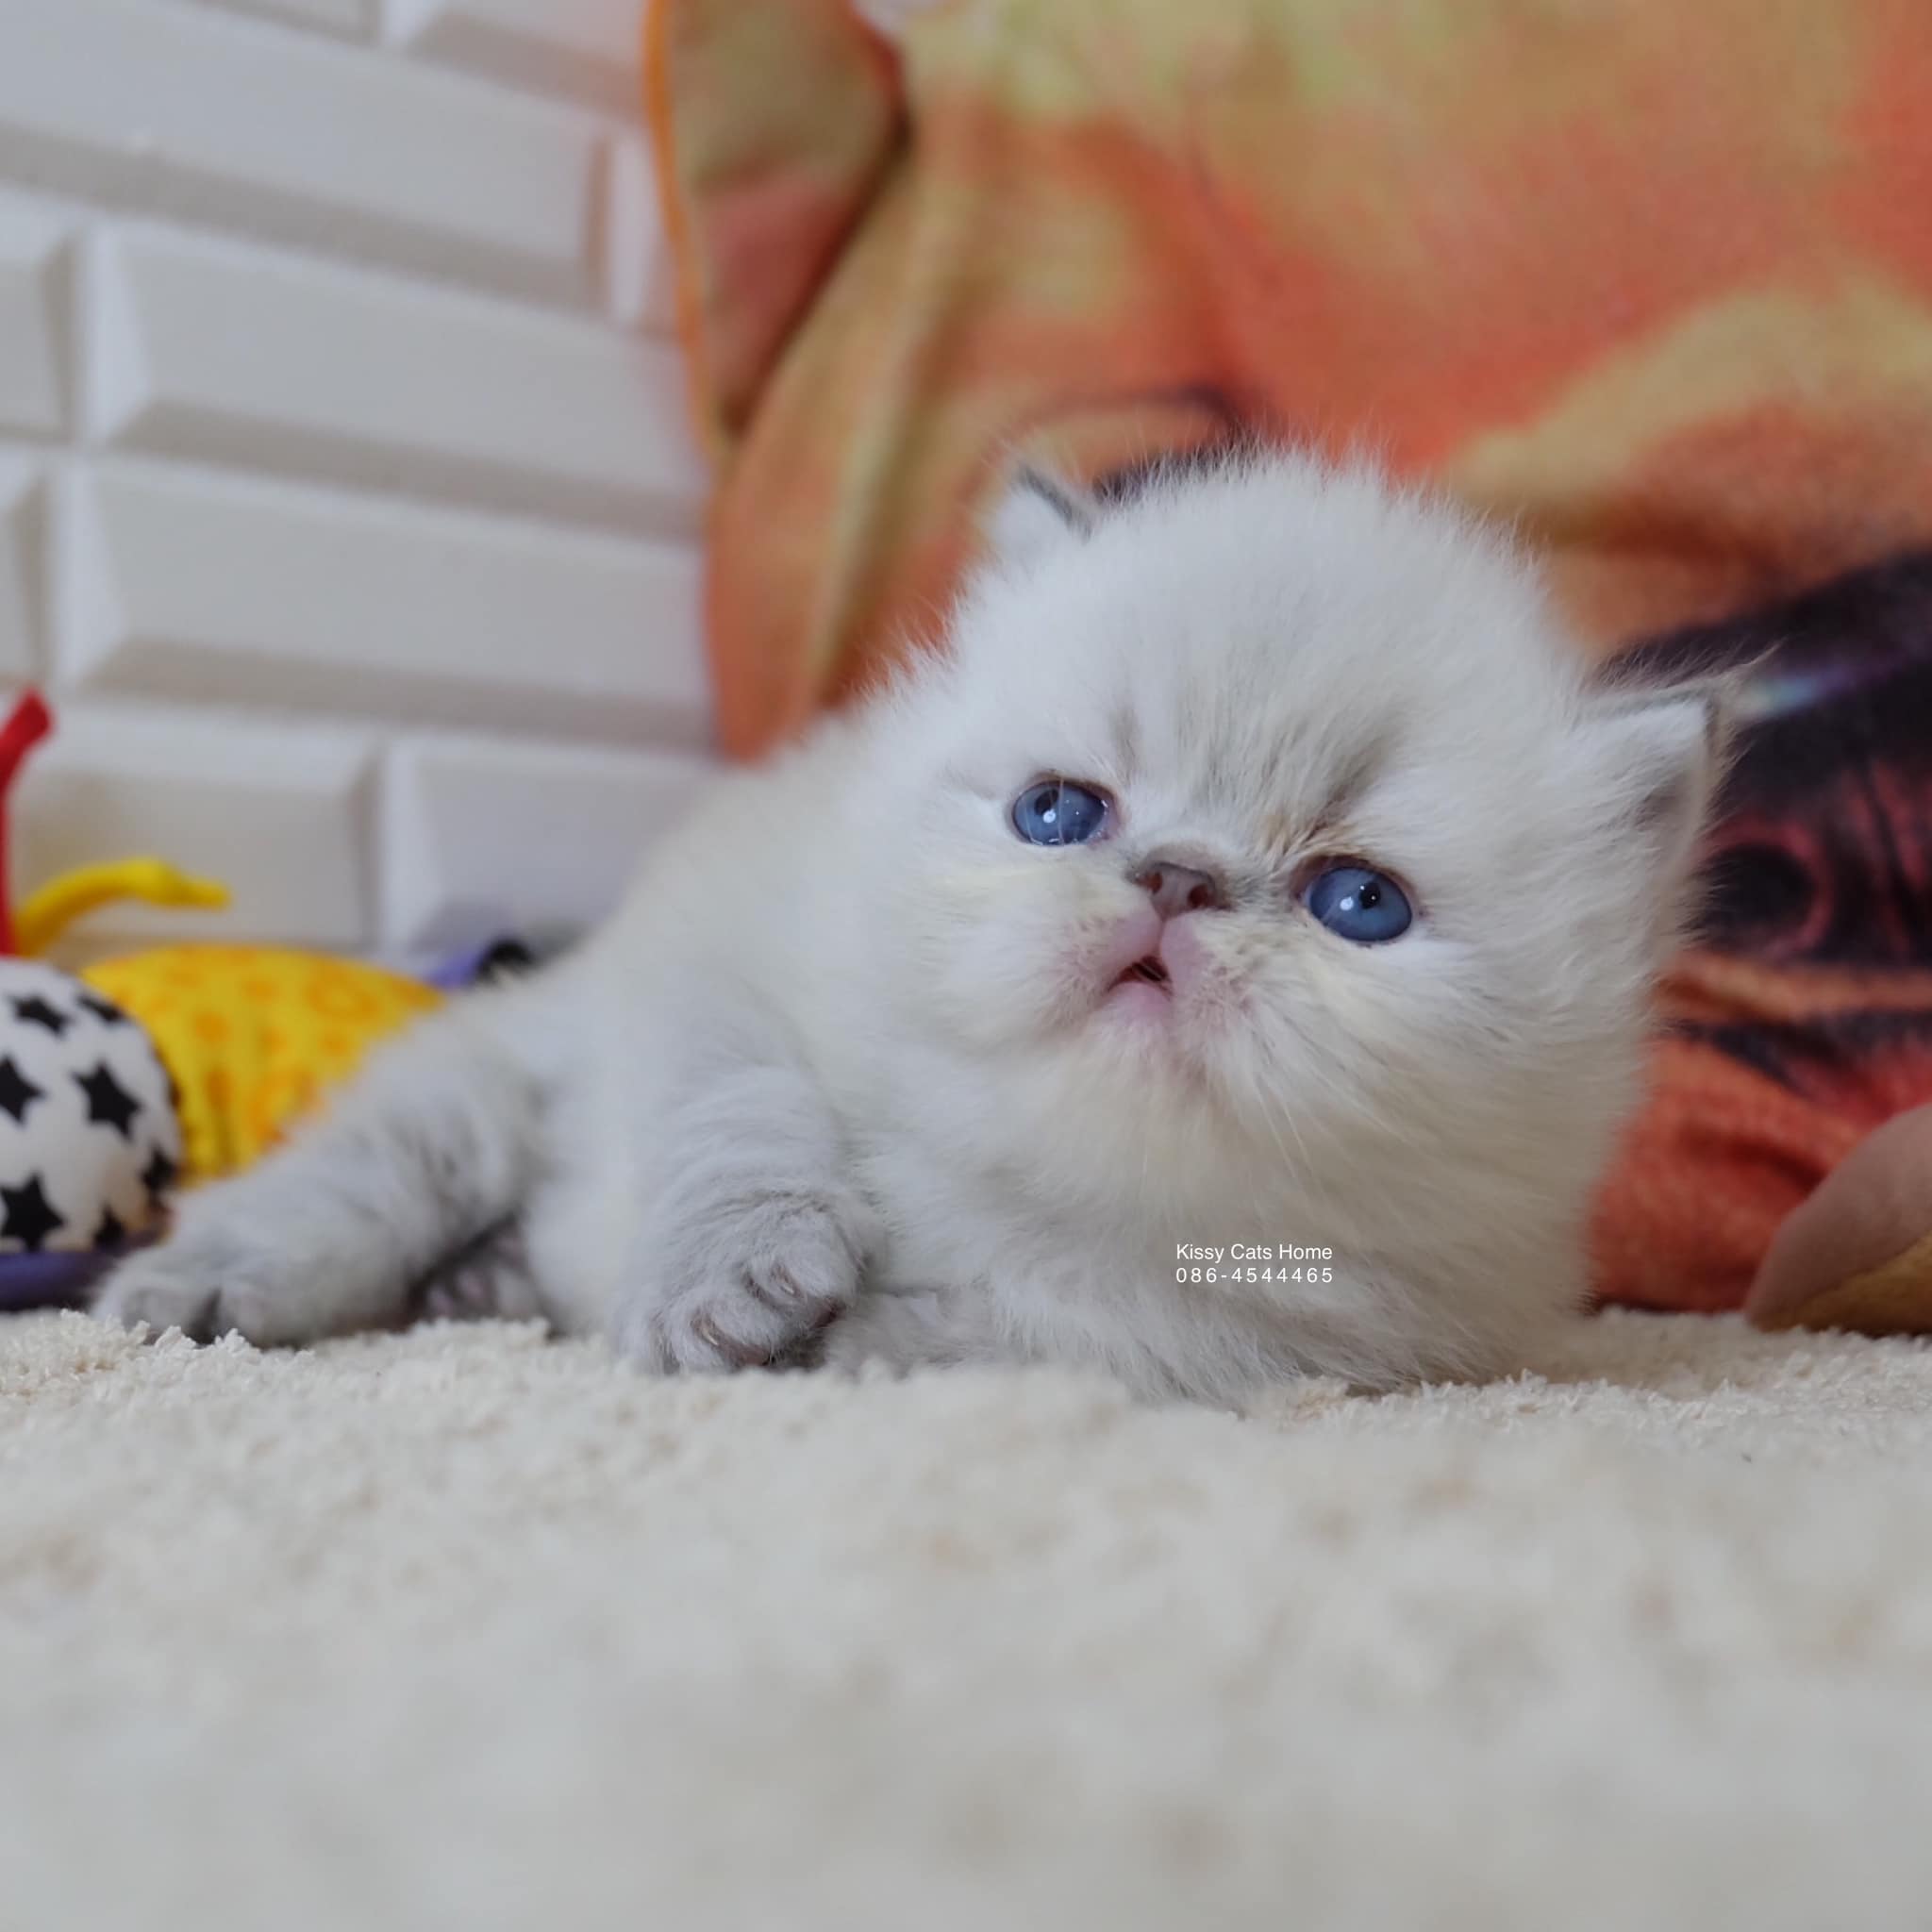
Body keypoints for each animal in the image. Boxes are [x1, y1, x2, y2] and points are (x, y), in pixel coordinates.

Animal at [94, 451, 1725, 1404]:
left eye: (1358, 904)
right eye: (1060, 813)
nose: (1177, 880)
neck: (1015, 1170)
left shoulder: (1270, 1338)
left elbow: (982, 1330)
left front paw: (830, 1338)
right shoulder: (718, 972)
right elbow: (740, 1122)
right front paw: (731, 1289)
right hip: (489, 1083)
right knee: (357, 1183)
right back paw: (203, 1291)